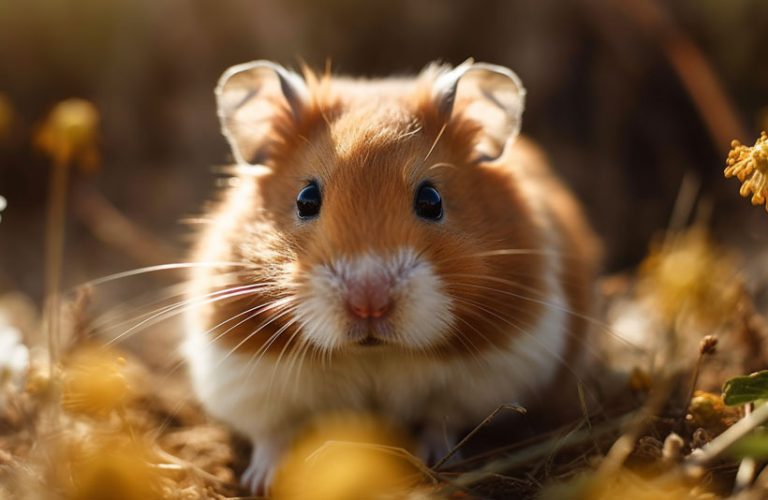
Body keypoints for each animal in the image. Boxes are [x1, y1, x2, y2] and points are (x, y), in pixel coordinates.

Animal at [183, 59, 599, 493]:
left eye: (431, 200)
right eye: (306, 200)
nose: (369, 305)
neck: (374, 354)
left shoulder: (498, 366)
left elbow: (442, 419)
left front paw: (435, 463)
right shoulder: (242, 373)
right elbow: (272, 433)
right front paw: (262, 483)